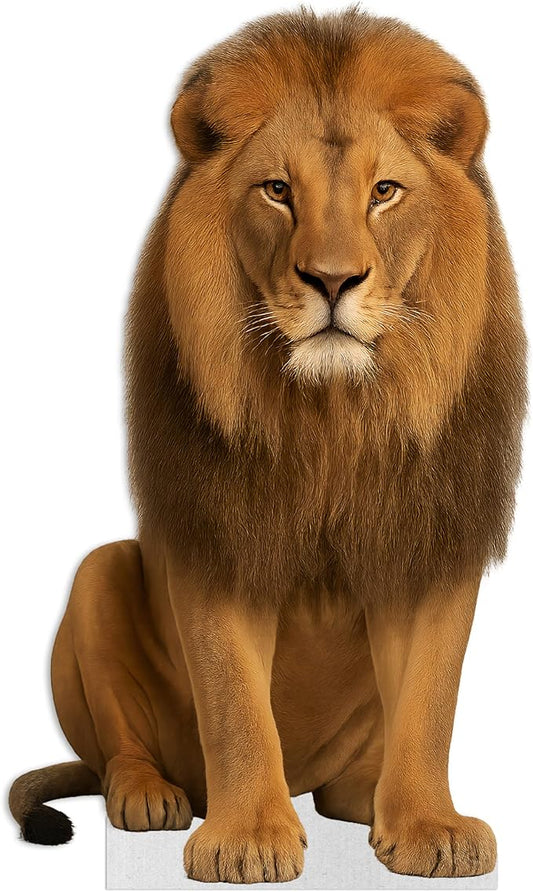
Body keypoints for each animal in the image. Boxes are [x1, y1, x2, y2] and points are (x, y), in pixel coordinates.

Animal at [9, 7, 526, 884]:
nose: (332, 280)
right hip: (100, 572)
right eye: (277, 191)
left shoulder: (429, 534)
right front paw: (247, 838)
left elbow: (429, 699)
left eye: (383, 192)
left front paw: (429, 827)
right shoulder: (217, 532)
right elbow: (234, 702)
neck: (332, 416)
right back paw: (147, 795)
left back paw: (362, 798)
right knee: (118, 749)